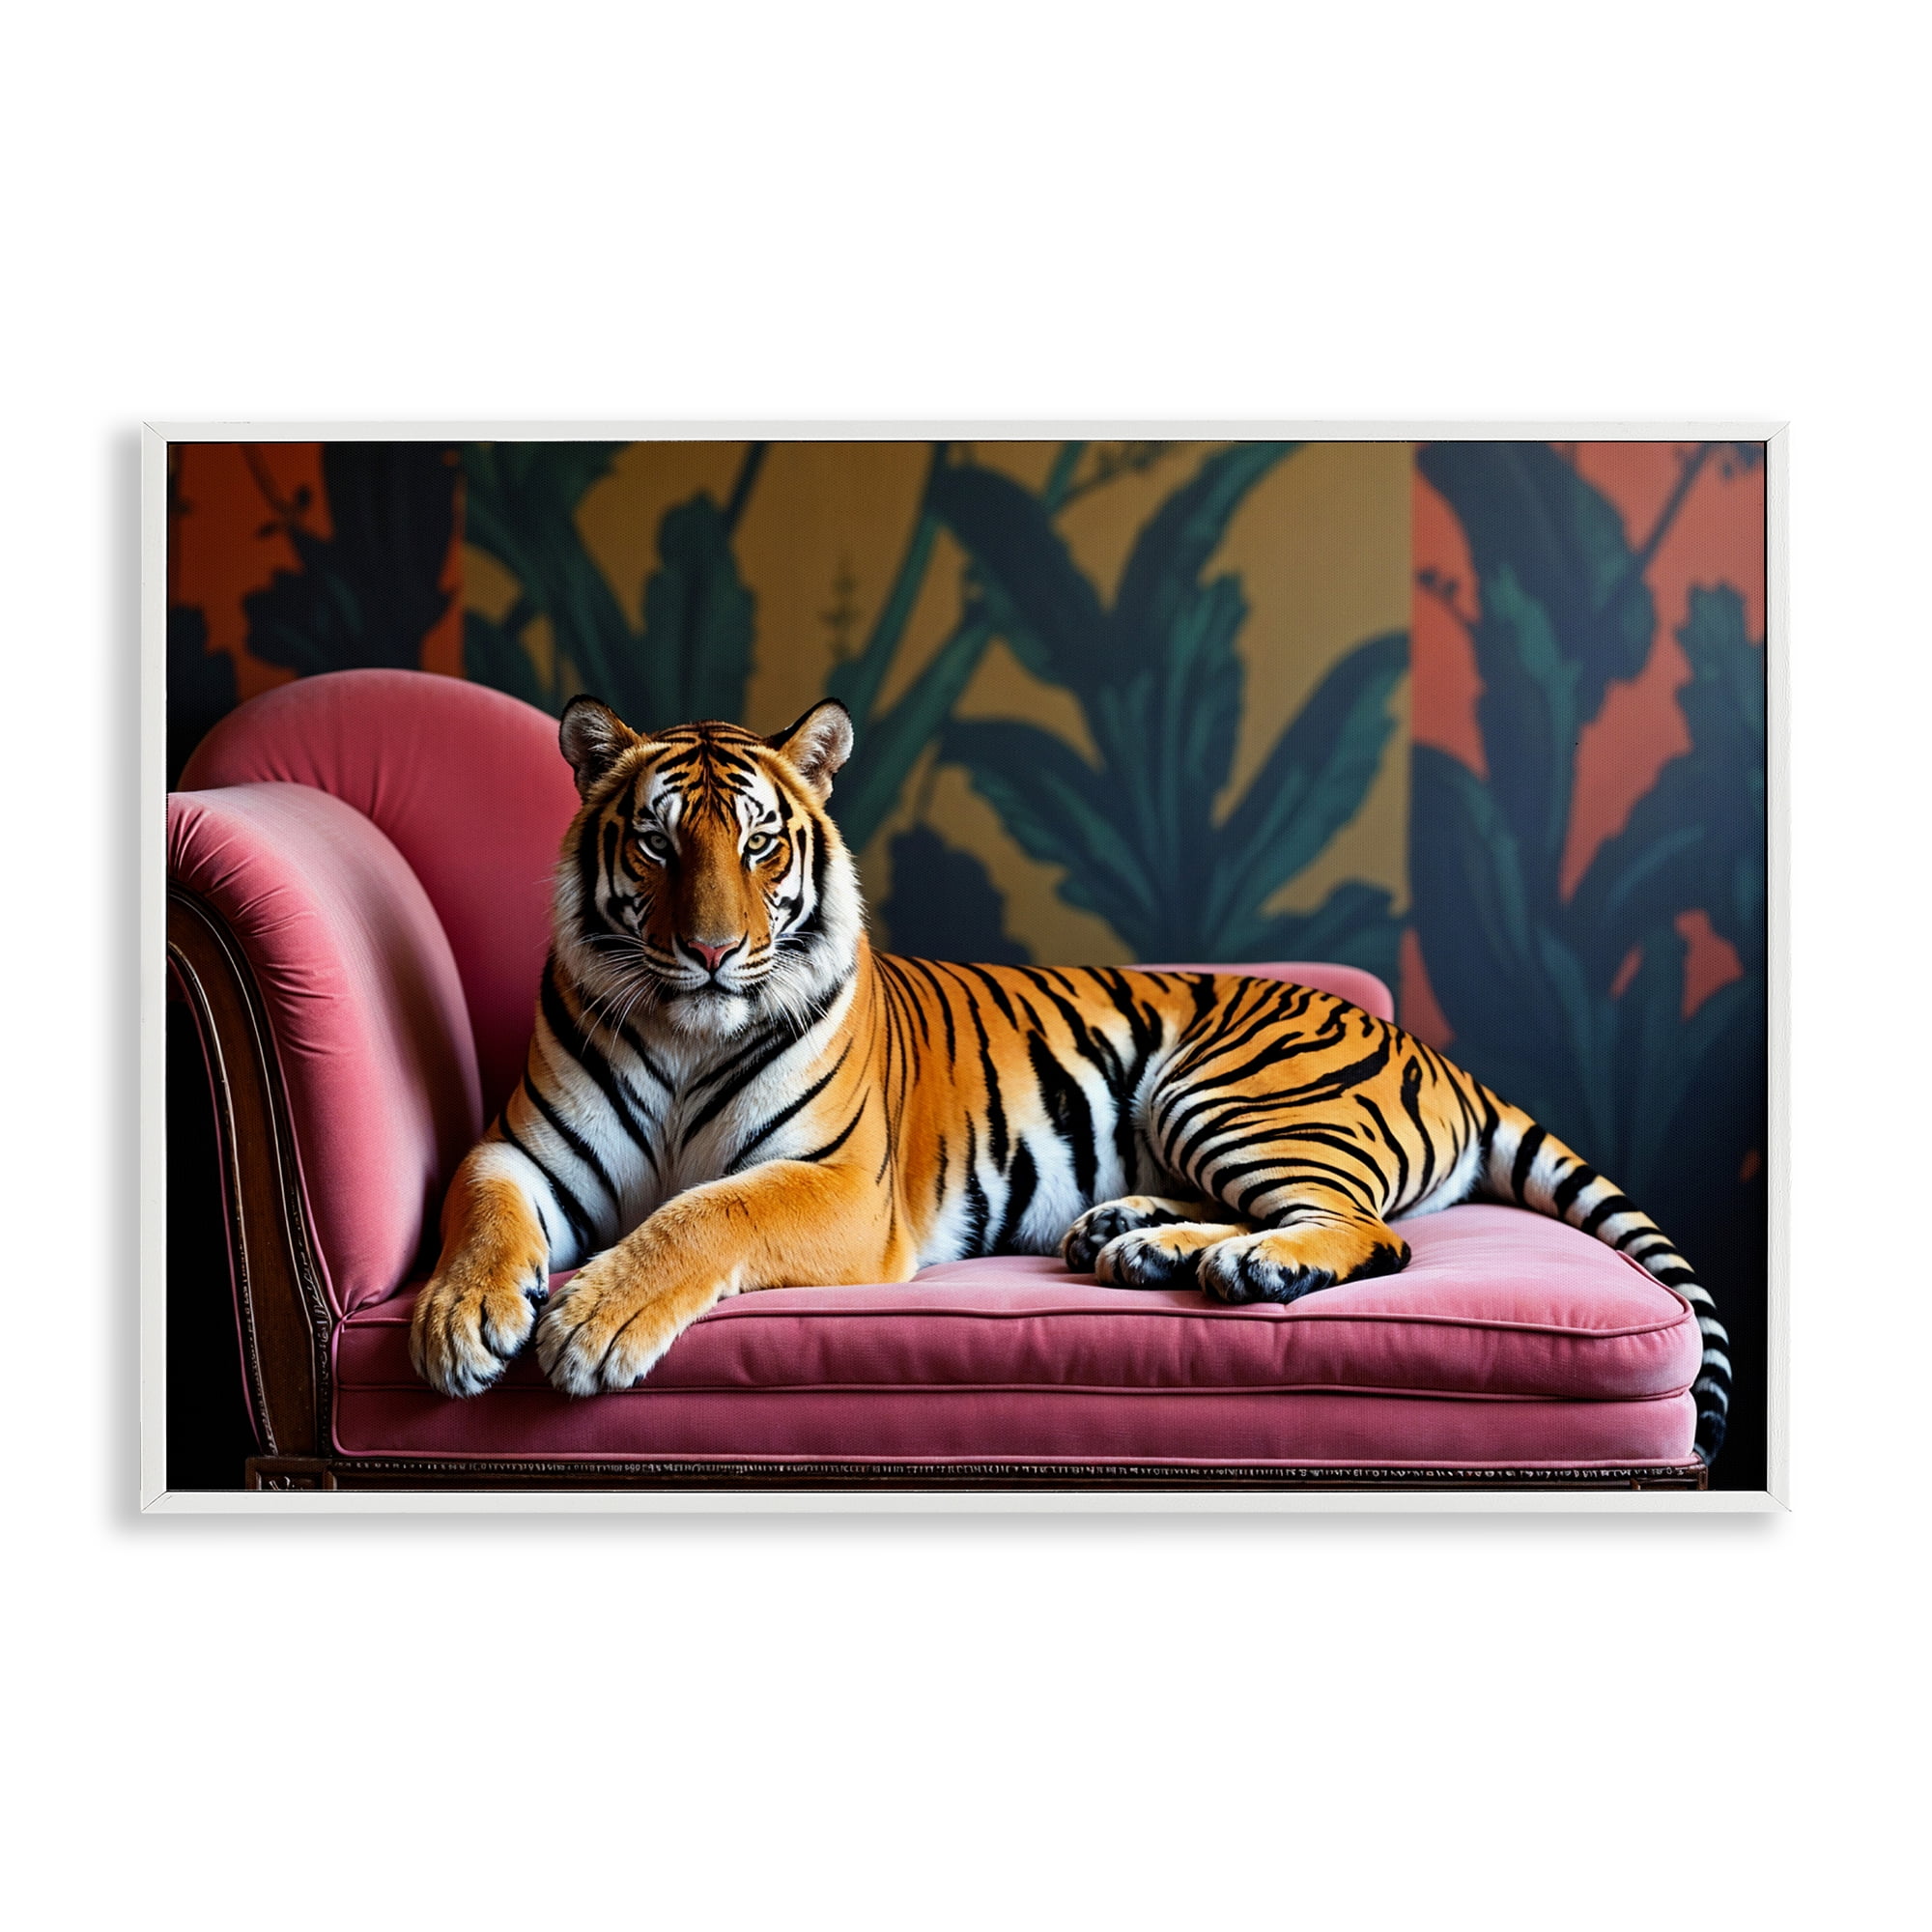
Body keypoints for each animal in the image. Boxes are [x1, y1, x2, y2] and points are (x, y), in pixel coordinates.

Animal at [409, 694, 1733, 1466]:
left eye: (760, 842)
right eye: (653, 840)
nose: (711, 950)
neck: (683, 1032)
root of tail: (1424, 1042)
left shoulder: (833, 1183)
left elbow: (702, 1213)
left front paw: (589, 1322)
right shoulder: (522, 1147)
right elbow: (476, 1205)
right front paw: (455, 1320)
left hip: (1225, 1090)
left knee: (1370, 1230)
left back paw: (1246, 1265)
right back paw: (1136, 1238)